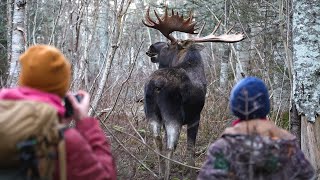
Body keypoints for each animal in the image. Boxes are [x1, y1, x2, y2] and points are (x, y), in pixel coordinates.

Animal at [142, 6, 242, 179]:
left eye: (167, 45)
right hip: (173, 115)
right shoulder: (195, 117)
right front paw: (192, 173)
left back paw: (161, 173)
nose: (151, 47)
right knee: (170, 147)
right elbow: (191, 148)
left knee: (158, 140)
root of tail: (156, 85)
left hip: (152, 114)